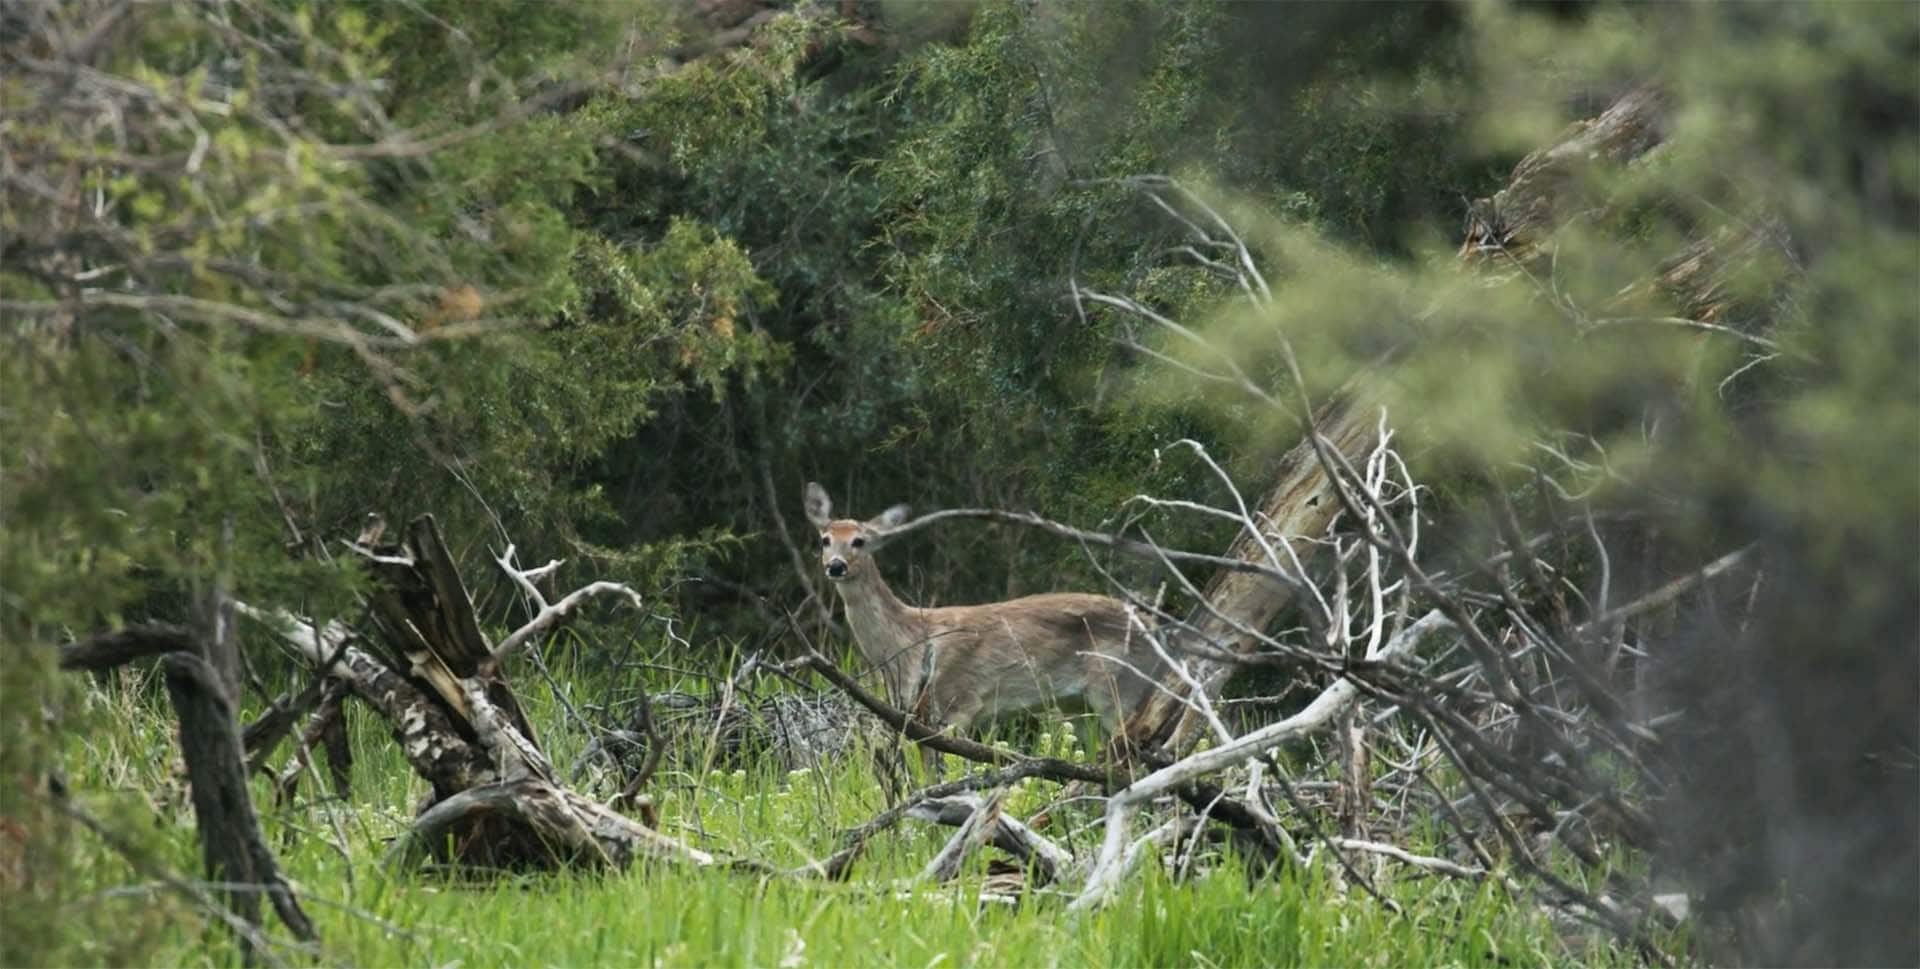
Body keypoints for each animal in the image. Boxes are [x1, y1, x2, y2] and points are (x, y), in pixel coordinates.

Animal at [803, 481, 1163, 771]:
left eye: (860, 541)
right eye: (824, 540)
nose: (836, 566)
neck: (908, 642)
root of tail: (1156, 629)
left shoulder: (958, 702)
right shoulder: (919, 718)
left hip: (1120, 688)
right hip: (1077, 704)